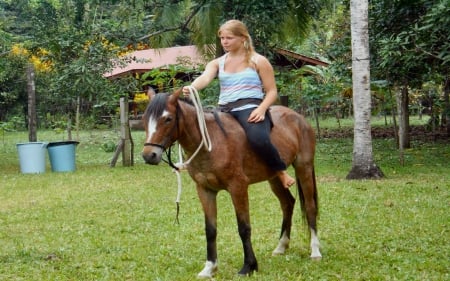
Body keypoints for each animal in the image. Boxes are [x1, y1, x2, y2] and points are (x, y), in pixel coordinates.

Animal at [141, 88, 320, 276]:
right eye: (144, 119)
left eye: (168, 119)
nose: (149, 155)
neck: (211, 142)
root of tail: (299, 118)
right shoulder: (205, 190)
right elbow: (210, 230)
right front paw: (210, 267)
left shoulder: (238, 187)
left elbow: (244, 228)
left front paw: (249, 266)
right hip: (274, 178)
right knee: (287, 203)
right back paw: (281, 246)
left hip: (304, 168)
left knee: (310, 207)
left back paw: (315, 251)